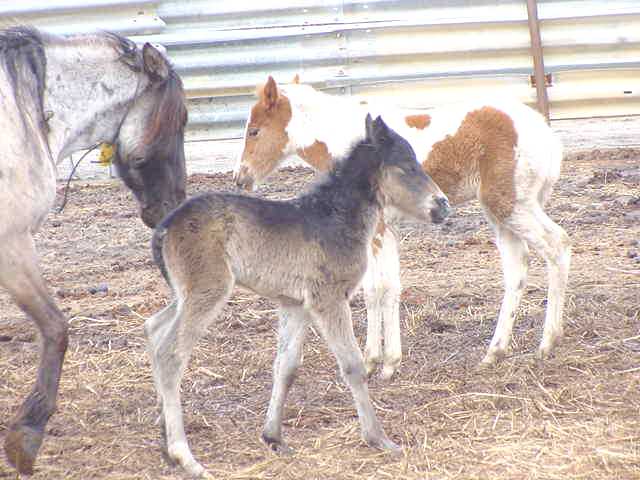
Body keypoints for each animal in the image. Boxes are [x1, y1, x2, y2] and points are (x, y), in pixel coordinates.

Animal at [145, 115, 450, 478]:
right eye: (405, 166)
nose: (443, 205)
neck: (335, 217)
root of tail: (166, 226)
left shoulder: (295, 304)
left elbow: (286, 366)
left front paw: (273, 437)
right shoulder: (328, 299)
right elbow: (352, 365)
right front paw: (379, 438)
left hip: (185, 292)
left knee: (154, 328)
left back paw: (163, 439)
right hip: (208, 289)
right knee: (170, 353)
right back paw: (184, 456)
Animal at [234, 76, 571, 376]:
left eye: (254, 131)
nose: (241, 178)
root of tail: (547, 134)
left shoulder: (379, 229)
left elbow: (380, 288)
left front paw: (382, 363)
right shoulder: (381, 230)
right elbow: (381, 288)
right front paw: (380, 360)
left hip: (512, 205)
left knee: (558, 245)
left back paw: (548, 342)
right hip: (500, 212)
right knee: (517, 268)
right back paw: (494, 352)